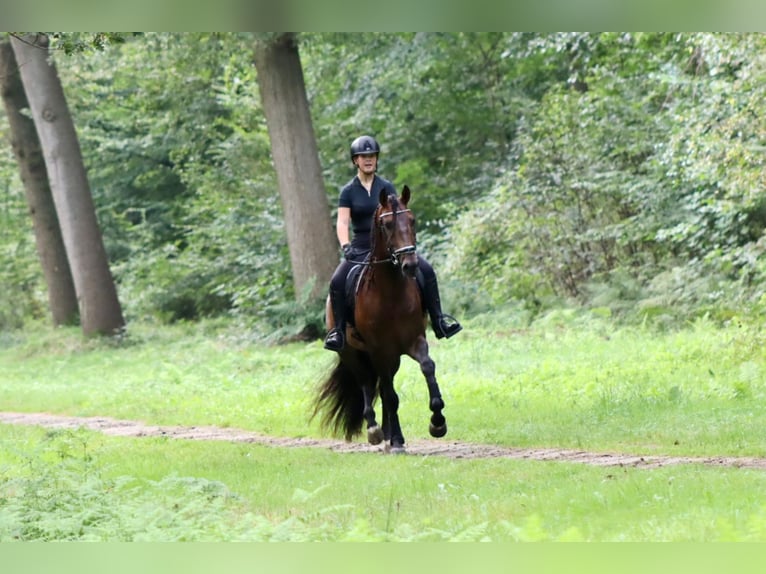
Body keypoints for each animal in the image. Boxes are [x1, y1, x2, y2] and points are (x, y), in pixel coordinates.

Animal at [312, 185, 447, 453]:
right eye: (387, 225)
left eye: (412, 220)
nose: (410, 265)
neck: (391, 294)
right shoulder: (379, 350)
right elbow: (390, 394)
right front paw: (394, 440)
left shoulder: (415, 340)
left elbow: (427, 367)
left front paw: (437, 422)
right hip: (352, 353)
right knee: (368, 383)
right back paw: (378, 431)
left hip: (390, 357)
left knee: (384, 388)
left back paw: (389, 435)